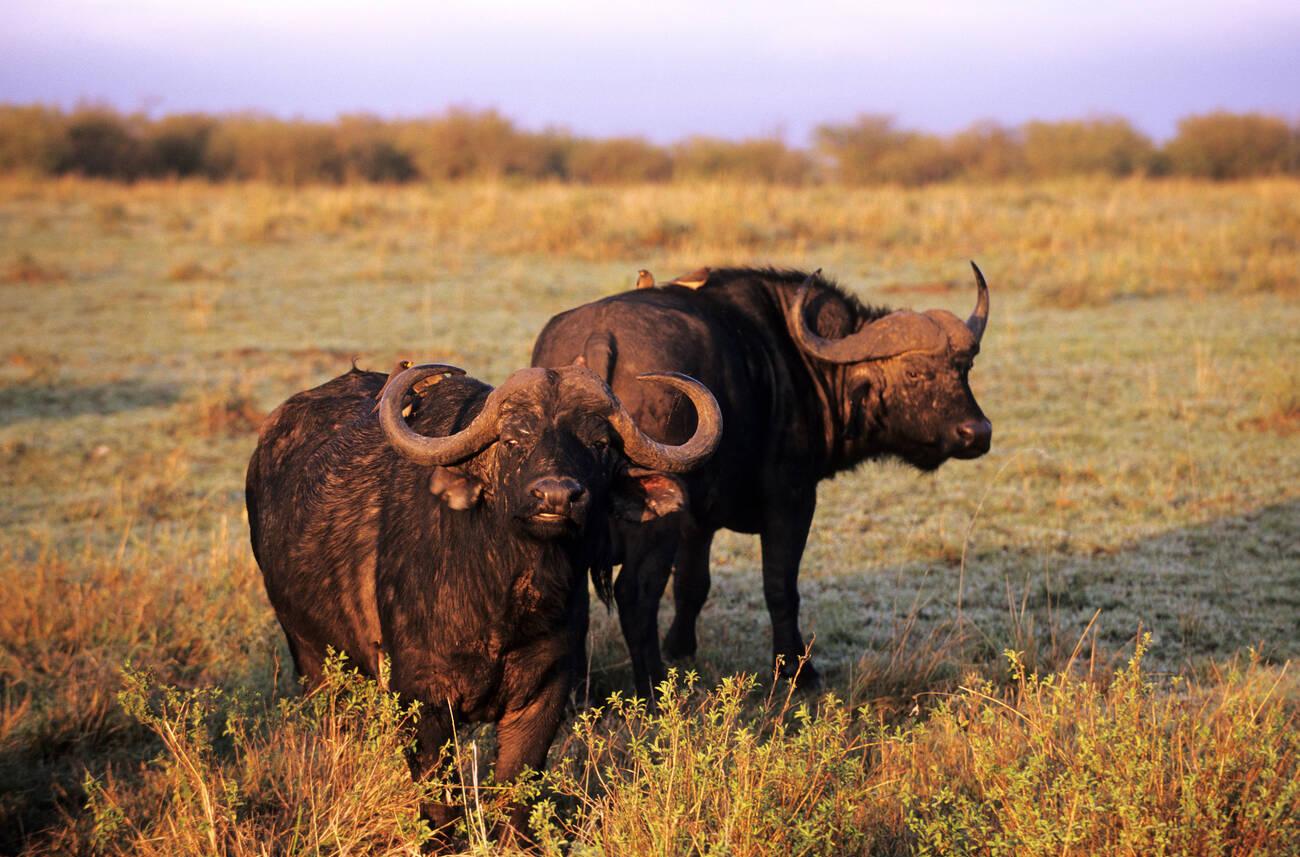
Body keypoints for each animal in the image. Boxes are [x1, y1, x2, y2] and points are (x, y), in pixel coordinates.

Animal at [245, 361, 721, 839]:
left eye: (599, 444)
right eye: (512, 441)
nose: (556, 496)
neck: (503, 601)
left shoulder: (544, 695)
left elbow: (516, 793)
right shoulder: (423, 701)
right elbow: (439, 803)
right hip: (310, 657)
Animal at [531, 264, 991, 695]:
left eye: (965, 367)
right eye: (914, 373)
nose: (977, 433)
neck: (799, 364)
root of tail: (600, 338)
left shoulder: (697, 520)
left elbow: (692, 584)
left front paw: (682, 649)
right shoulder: (792, 501)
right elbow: (780, 587)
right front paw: (796, 670)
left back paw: (575, 692)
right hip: (655, 527)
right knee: (636, 595)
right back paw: (653, 691)